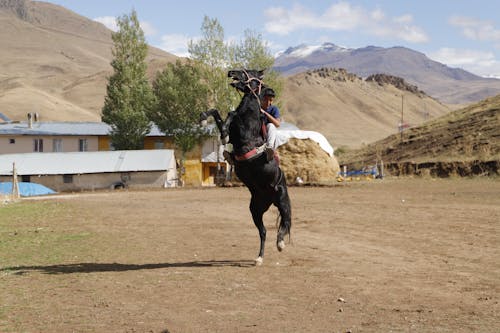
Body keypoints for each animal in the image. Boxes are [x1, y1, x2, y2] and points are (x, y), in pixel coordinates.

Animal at [200, 69, 292, 264]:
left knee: (285, 221)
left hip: (282, 201)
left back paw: (280, 244)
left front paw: (224, 135)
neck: (249, 111)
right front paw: (204, 119)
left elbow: (230, 114)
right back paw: (259, 258)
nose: (230, 72)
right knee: (263, 232)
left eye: (249, 72)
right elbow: (219, 113)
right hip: (256, 209)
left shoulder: (243, 130)